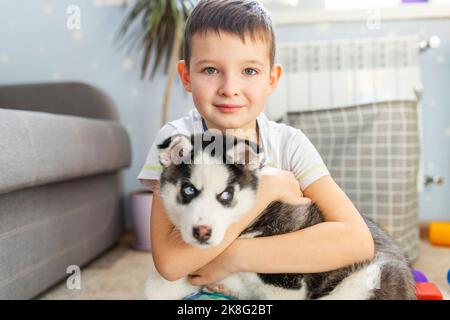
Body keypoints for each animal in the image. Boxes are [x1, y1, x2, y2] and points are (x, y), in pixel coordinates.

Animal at [144, 131, 414, 298]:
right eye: (188, 189)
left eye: (226, 194)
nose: (202, 233)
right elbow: (156, 287)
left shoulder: (286, 284)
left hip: (369, 279)